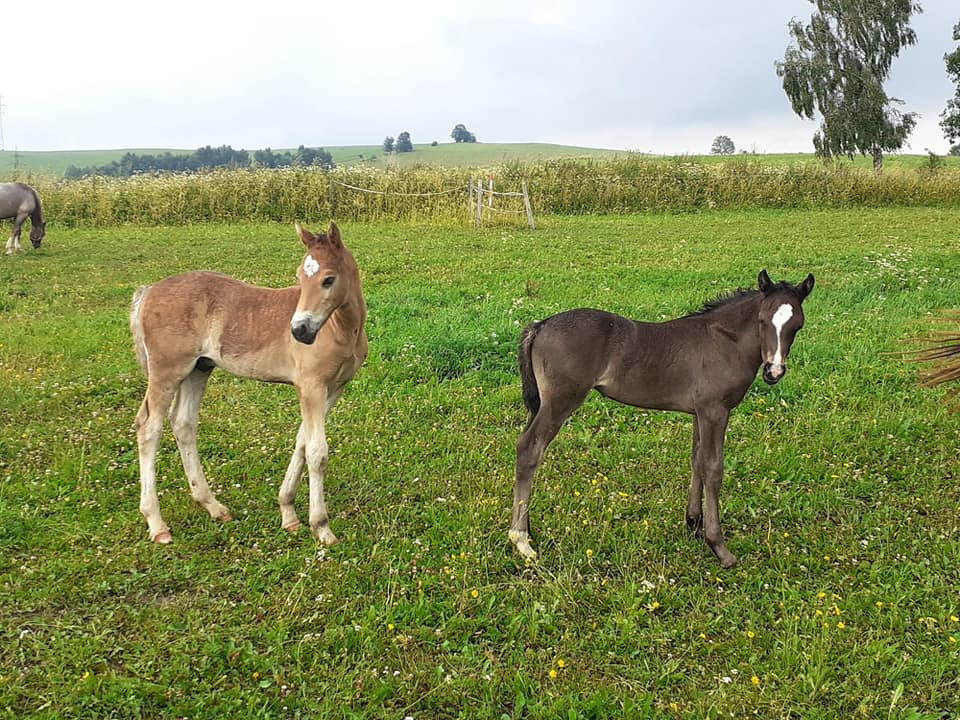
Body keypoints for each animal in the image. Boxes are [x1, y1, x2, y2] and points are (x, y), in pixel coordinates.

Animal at [128, 222, 368, 544]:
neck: (340, 328)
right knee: (149, 428)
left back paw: (213, 507)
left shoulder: (333, 389)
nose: (299, 331)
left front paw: (288, 513)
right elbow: (317, 452)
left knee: (183, 423)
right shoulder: (312, 387)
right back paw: (157, 524)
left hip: (198, 369)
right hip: (167, 371)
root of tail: (149, 290)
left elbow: (302, 442)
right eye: (299, 277)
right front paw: (322, 527)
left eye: (328, 280)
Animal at [506, 270, 812, 568]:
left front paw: (694, 524)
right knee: (530, 448)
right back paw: (521, 540)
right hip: (561, 401)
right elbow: (713, 469)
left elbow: (697, 461)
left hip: (544, 403)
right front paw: (719, 547)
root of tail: (541, 325)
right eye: (762, 320)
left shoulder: (700, 413)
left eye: (797, 325)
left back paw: (528, 529)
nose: (774, 371)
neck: (725, 341)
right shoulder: (715, 411)